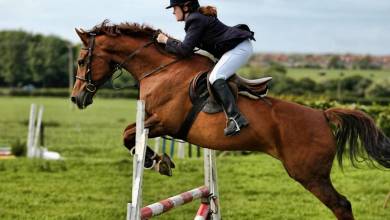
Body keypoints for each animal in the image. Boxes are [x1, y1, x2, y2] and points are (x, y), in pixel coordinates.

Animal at [71, 21, 390, 220]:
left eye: (81, 61)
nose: (76, 98)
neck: (161, 68)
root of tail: (322, 115)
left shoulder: (163, 121)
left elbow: (128, 134)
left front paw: (155, 160)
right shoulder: (156, 121)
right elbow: (129, 134)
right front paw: (159, 160)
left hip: (309, 174)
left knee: (342, 205)